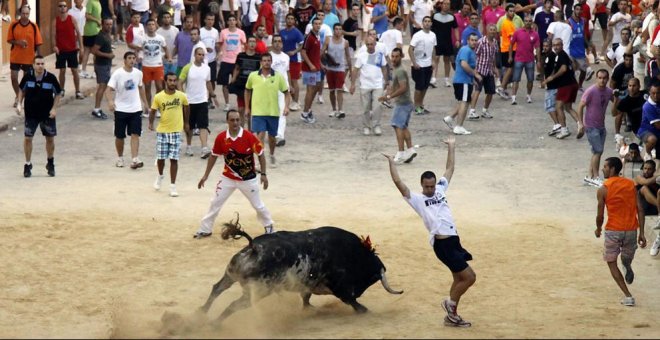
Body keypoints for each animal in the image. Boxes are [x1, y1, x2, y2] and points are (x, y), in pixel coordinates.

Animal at [199, 215, 402, 324]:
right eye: (372, 277)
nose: (359, 292)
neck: (353, 253)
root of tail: (254, 247)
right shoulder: (339, 287)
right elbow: (351, 301)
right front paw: (365, 310)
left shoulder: (308, 285)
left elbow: (306, 298)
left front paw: (309, 309)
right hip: (257, 291)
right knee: (234, 305)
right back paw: (215, 324)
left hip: (231, 274)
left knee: (217, 289)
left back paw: (200, 314)